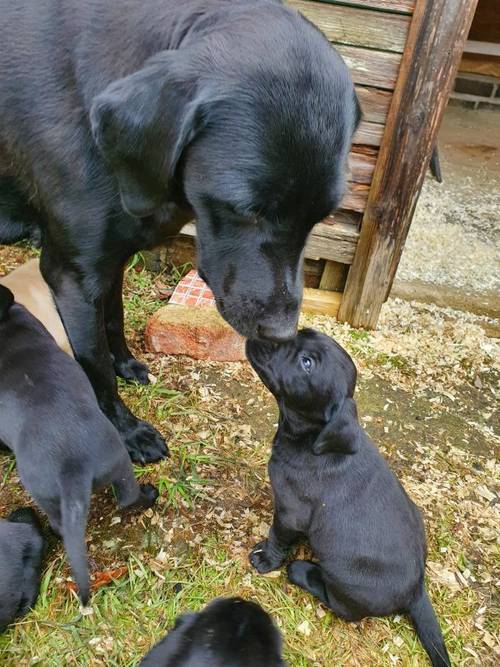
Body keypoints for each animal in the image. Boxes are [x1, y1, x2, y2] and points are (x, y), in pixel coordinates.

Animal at [0, 0, 360, 464]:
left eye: (322, 216)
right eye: (247, 209)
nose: (283, 334)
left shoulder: (113, 260)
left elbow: (114, 317)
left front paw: (126, 364)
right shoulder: (72, 276)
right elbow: (95, 367)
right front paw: (129, 431)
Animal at [248, 330, 452, 667]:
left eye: (307, 363)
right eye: (304, 333)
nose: (265, 331)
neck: (309, 440)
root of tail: (417, 589)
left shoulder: (291, 513)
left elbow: (277, 537)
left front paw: (265, 559)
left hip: (346, 576)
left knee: (344, 608)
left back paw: (302, 570)